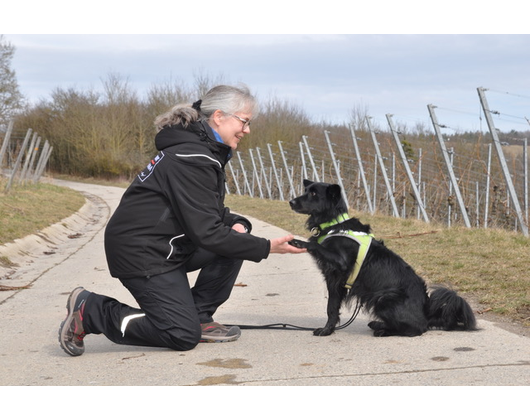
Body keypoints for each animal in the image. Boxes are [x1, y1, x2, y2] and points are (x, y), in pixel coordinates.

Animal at [286, 179, 476, 336]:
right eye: (306, 190)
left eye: (313, 194)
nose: (291, 202)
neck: (334, 224)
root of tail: (427, 313)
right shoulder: (335, 281)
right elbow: (332, 308)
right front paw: (329, 329)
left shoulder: (339, 265)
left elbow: (317, 247)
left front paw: (298, 242)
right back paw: (378, 325)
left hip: (384, 299)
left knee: (416, 329)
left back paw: (383, 330)